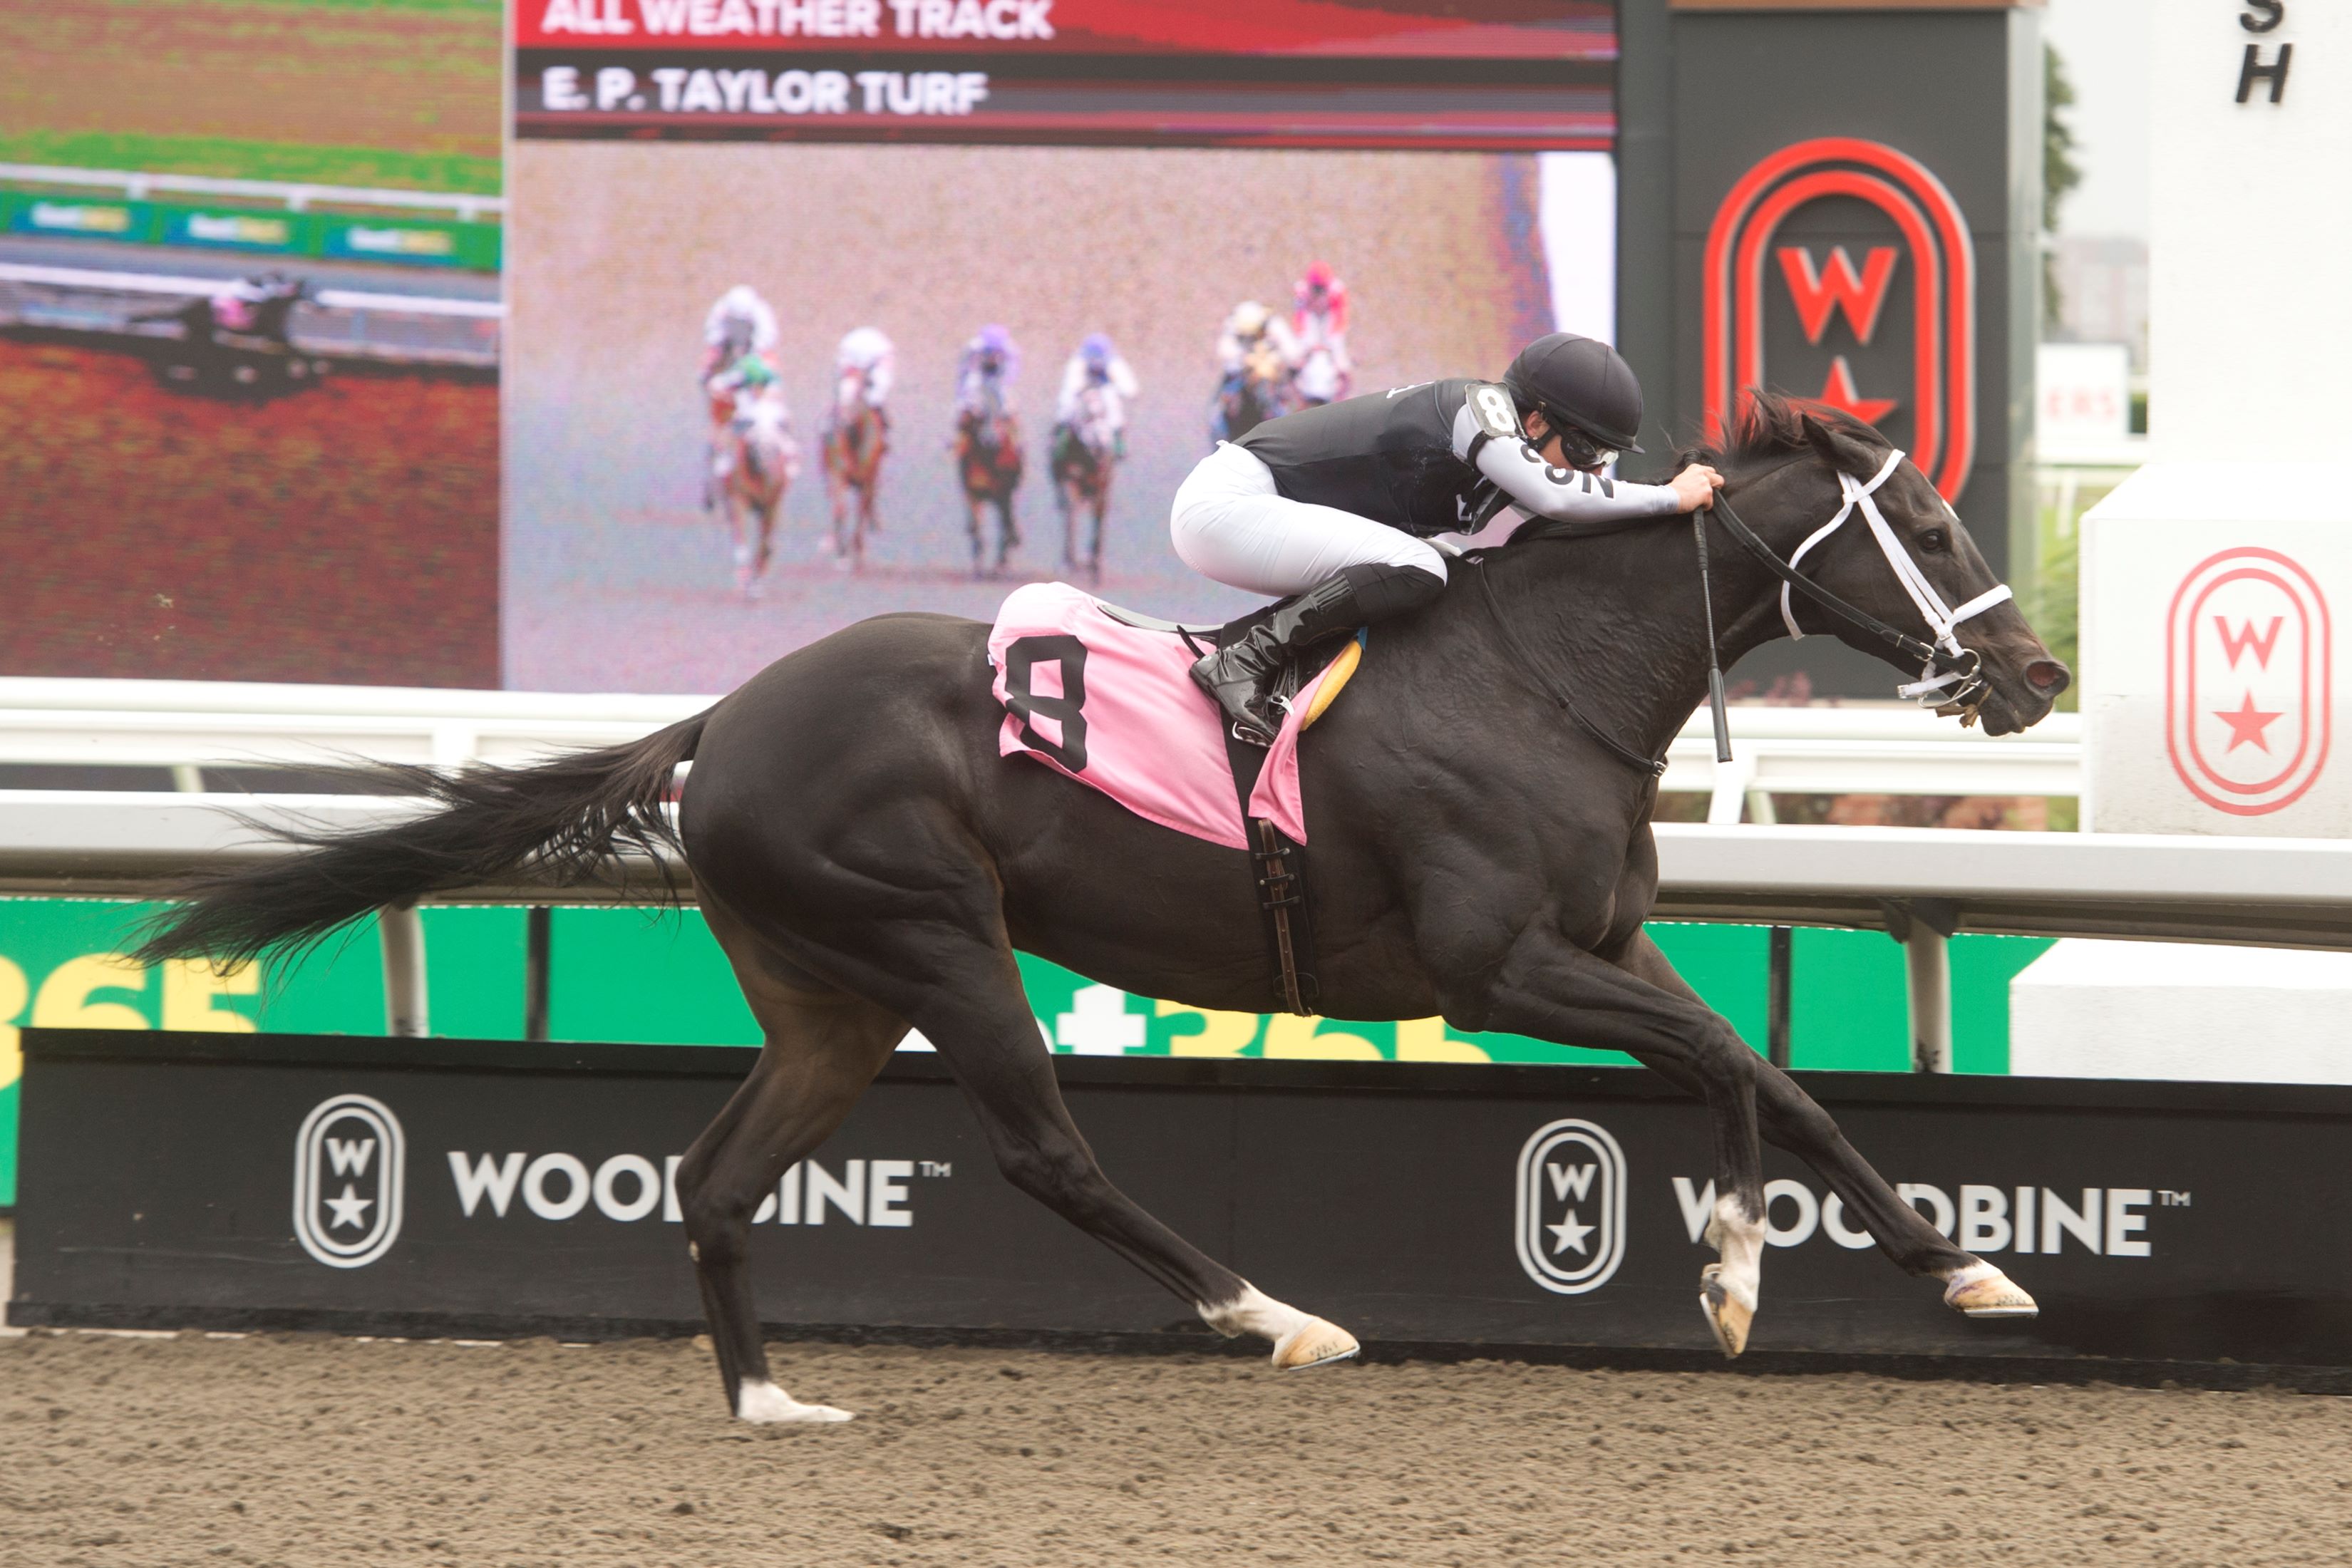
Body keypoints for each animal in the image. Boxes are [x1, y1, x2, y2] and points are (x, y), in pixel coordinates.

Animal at [950, 390, 1025, 580]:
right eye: (959, 423)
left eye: (973, 423)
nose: (954, 445)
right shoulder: (973, 495)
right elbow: (976, 529)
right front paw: (978, 568)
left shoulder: (1001, 496)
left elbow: (1005, 527)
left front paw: (998, 567)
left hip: (1008, 496)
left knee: (1008, 525)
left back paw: (1003, 564)